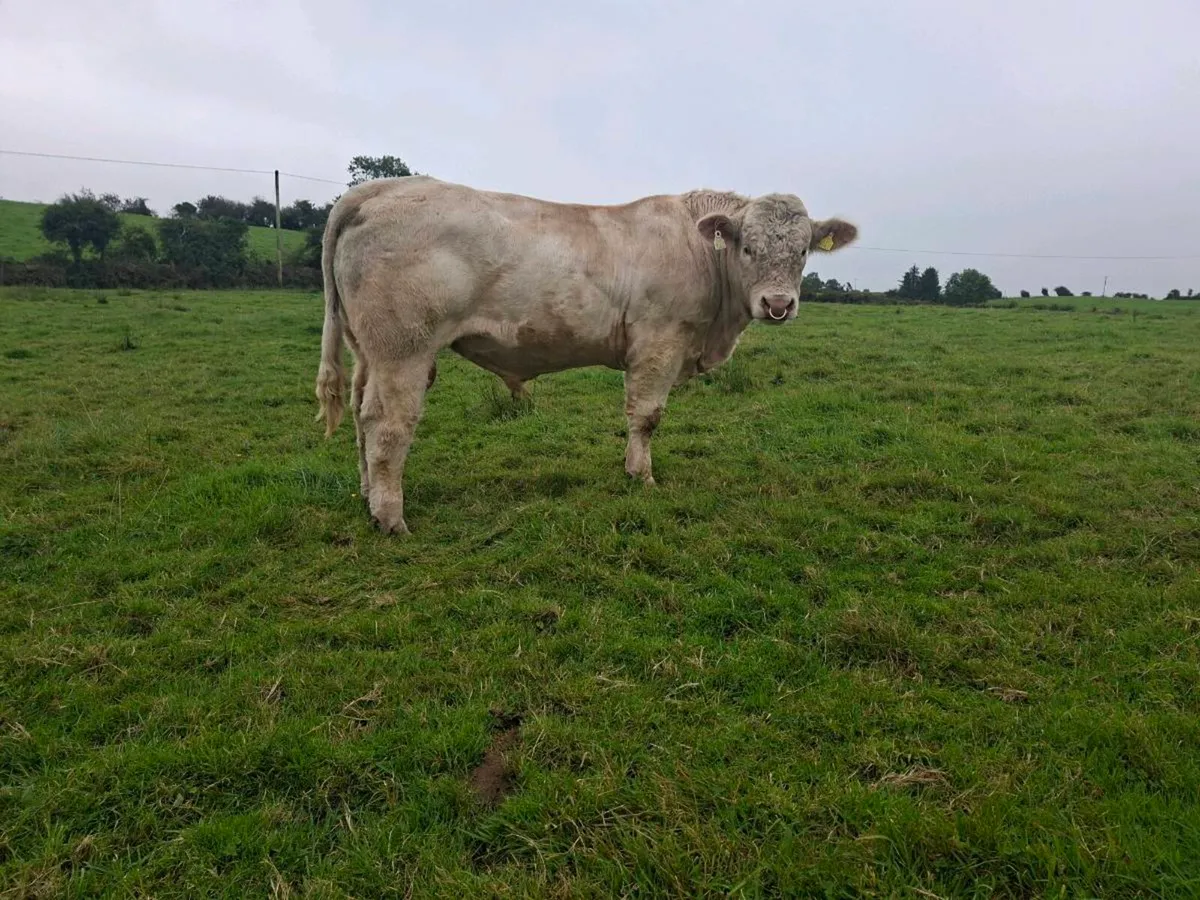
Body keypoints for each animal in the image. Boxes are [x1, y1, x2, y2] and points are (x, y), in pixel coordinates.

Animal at [314, 176, 858, 534]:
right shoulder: (659, 340)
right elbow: (646, 415)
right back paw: (391, 517)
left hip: (368, 350)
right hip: (402, 348)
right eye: (748, 248)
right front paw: (641, 476)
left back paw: (367, 494)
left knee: (361, 415)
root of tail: (378, 188)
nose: (778, 304)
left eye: (803, 251)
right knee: (387, 424)